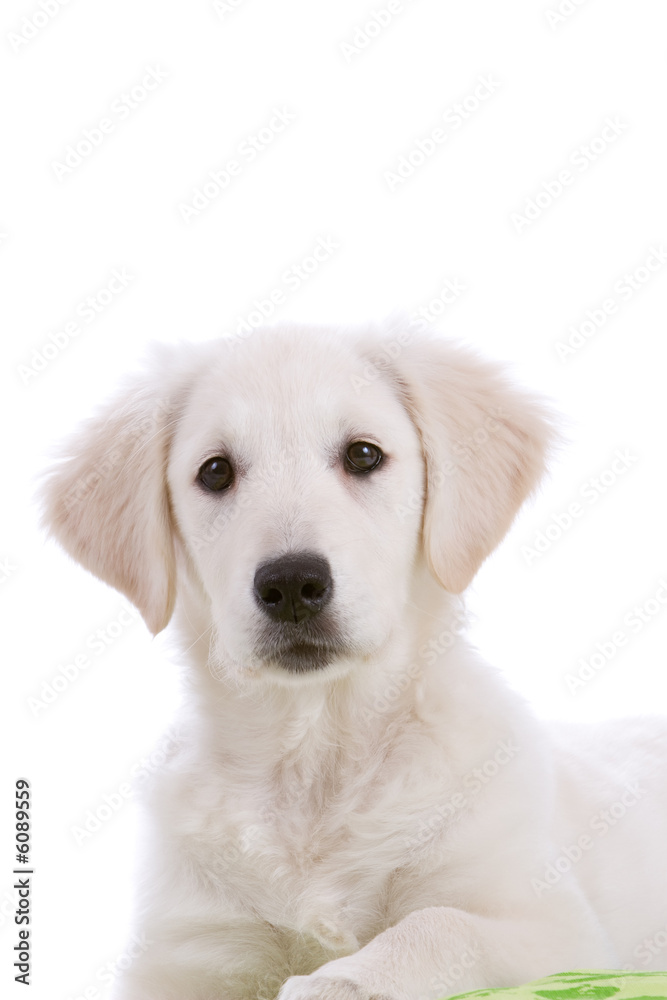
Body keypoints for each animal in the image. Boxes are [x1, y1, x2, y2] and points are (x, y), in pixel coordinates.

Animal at [43, 324, 667, 996]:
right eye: (215, 472)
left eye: (363, 456)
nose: (292, 584)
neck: (316, 762)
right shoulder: (187, 953)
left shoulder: (554, 927)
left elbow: (440, 924)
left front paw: (341, 979)